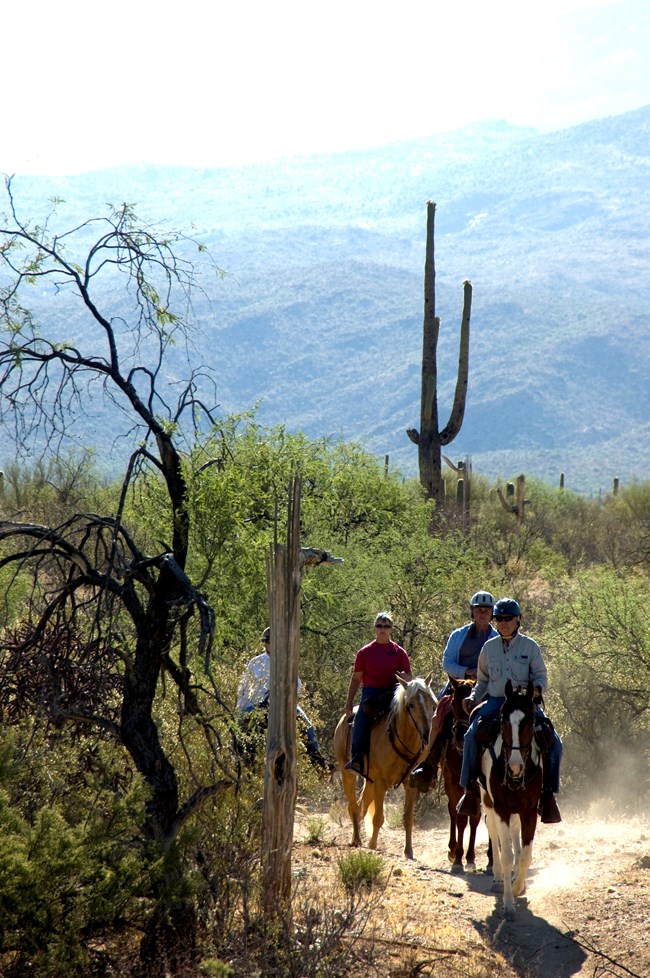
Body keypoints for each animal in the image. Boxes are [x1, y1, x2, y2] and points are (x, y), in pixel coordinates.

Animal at [334, 676, 436, 856]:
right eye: (411, 704)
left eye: (432, 703)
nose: (425, 735)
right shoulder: (381, 783)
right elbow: (378, 818)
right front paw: (373, 845)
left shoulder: (410, 784)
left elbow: (408, 818)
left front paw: (408, 851)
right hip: (348, 773)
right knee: (353, 806)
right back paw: (356, 839)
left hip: (370, 781)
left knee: (361, 805)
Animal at [440, 676, 492, 872]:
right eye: (453, 703)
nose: (460, 737)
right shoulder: (456, 782)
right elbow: (461, 818)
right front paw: (458, 860)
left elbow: (480, 818)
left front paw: (484, 859)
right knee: (453, 811)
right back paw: (452, 850)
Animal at [478, 680, 544, 916]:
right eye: (504, 720)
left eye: (530, 720)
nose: (515, 767)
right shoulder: (502, 808)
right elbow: (506, 854)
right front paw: (508, 902)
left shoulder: (529, 811)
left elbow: (525, 855)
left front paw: (518, 887)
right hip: (487, 802)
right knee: (493, 831)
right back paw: (498, 878)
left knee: (514, 834)